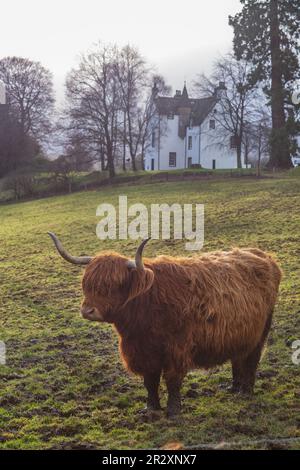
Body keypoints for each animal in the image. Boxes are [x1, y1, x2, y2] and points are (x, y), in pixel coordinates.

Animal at [48, 233, 282, 416]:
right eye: (86, 283)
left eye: (113, 285)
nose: (88, 311)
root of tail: (264, 256)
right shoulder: (142, 351)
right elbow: (150, 380)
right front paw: (151, 408)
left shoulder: (176, 348)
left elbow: (172, 379)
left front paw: (173, 410)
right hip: (239, 332)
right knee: (237, 357)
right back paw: (233, 387)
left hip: (260, 331)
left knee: (251, 359)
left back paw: (246, 391)